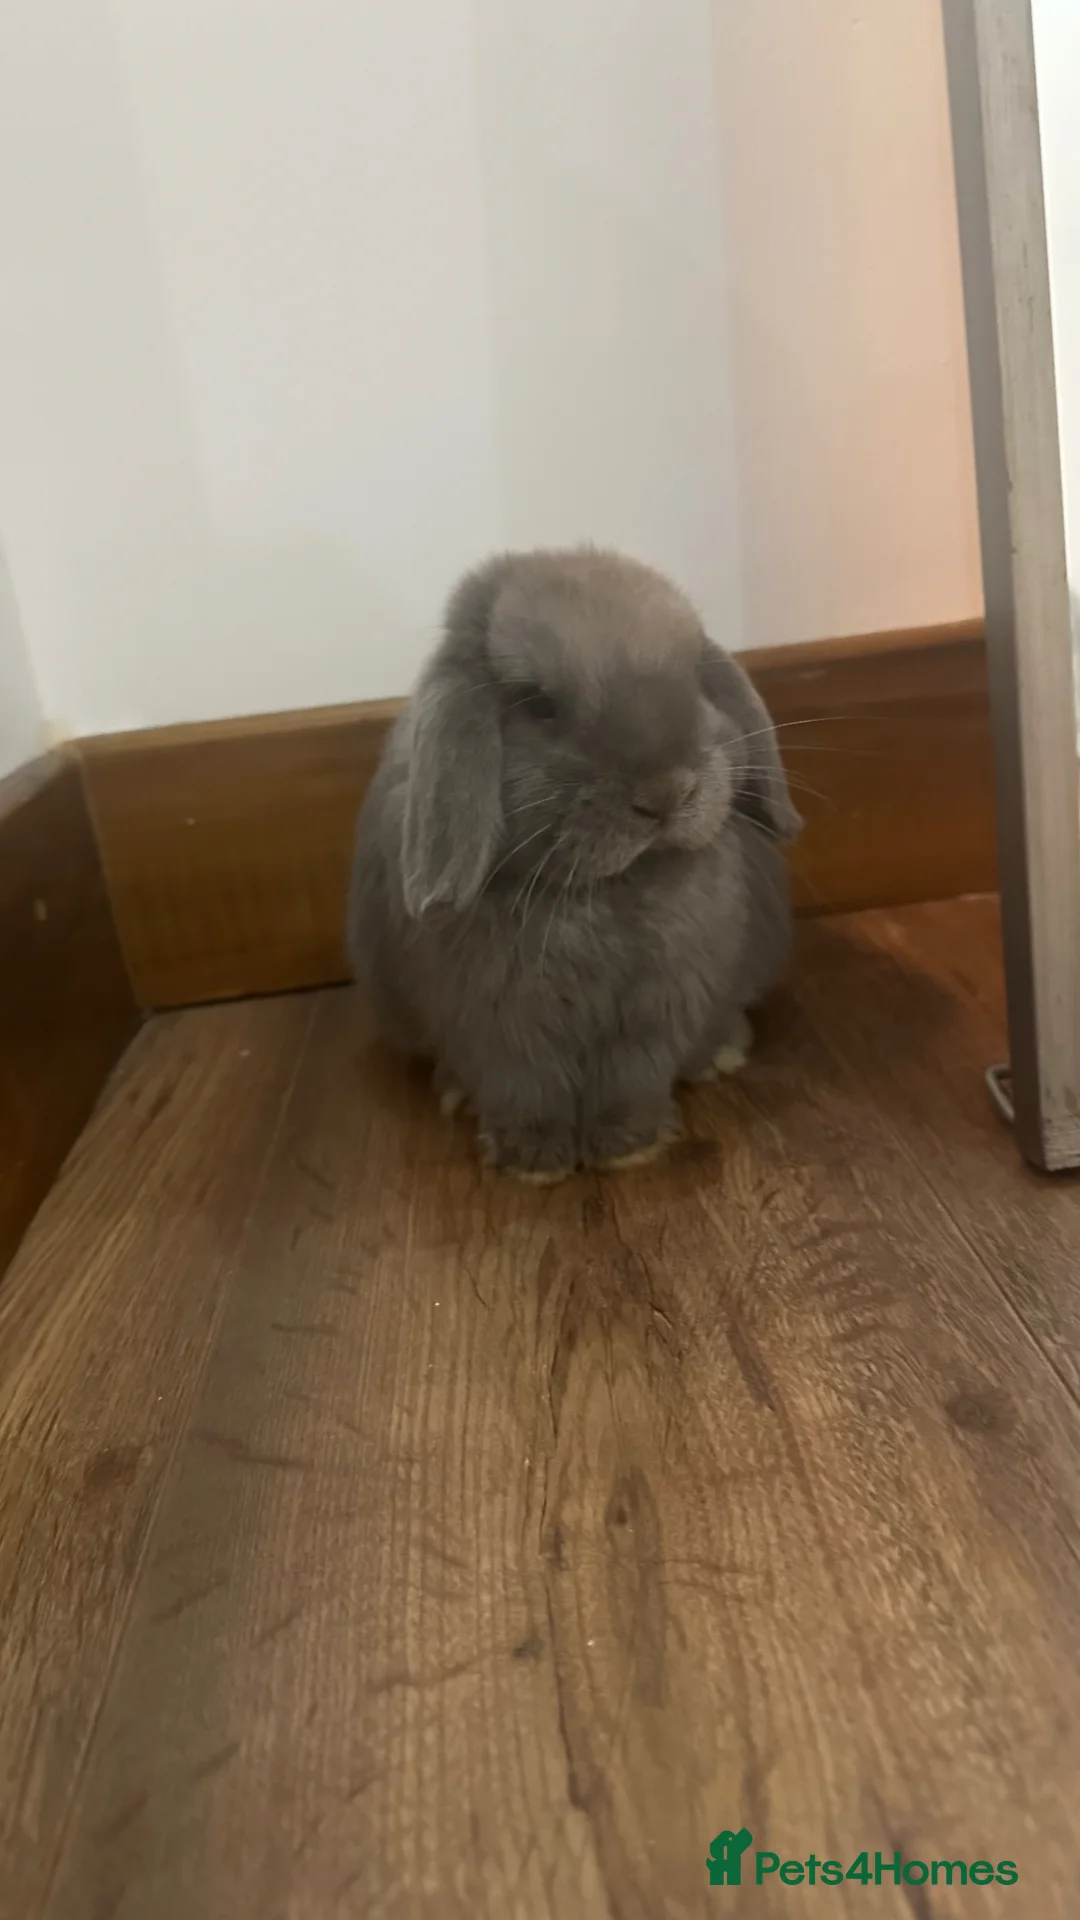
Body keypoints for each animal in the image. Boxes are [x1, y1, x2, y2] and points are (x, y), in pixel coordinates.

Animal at [348, 548, 801, 1182]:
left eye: (693, 677)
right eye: (539, 704)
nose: (666, 792)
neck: (608, 887)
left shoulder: (656, 1012)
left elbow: (632, 1080)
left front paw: (625, 1147)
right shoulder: (501, 1027)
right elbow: (524, 1090)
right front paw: (536, 1163)